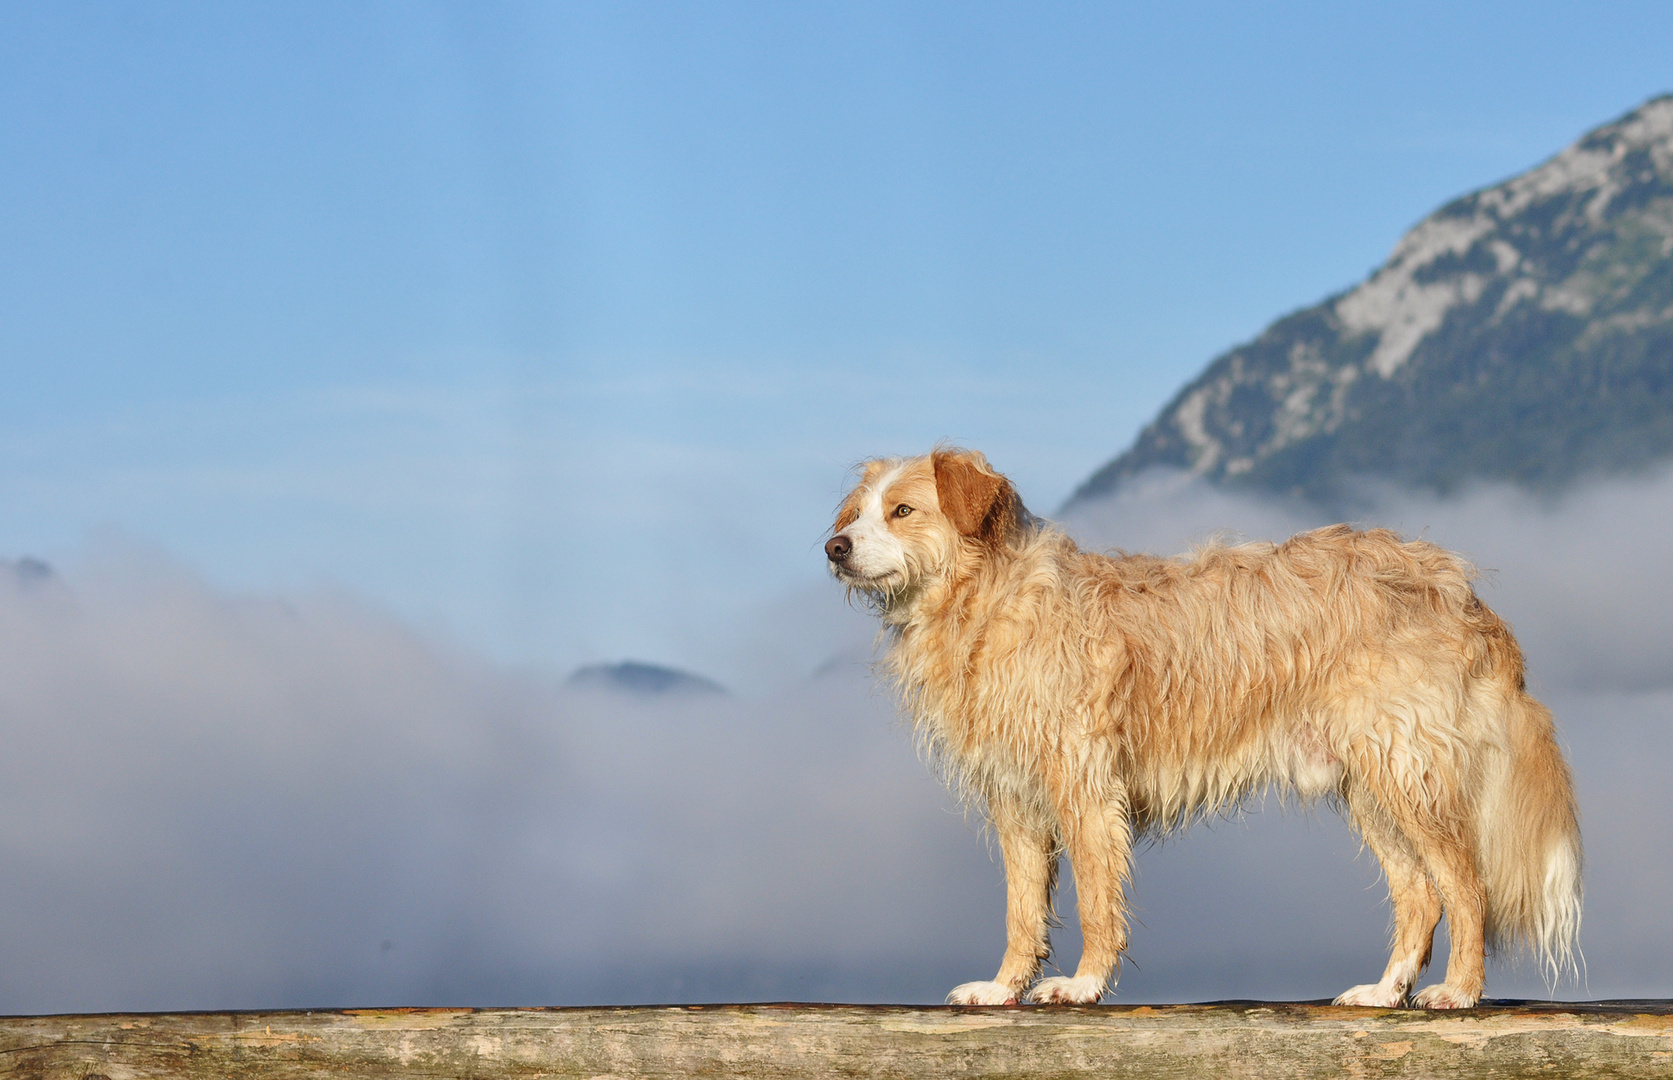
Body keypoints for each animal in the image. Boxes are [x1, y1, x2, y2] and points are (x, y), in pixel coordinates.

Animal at [829, 448, 1586, 1009]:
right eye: (857, 513)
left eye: (902, 511)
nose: (835, 546)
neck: (988, 598)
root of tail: (1453, 585)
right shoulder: (1016, 801)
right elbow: (1022, 910)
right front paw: (1001, 988)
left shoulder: (1084, 788)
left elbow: (1096, 899)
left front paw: (1081, 985)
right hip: (1371, 787)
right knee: (1421, 895)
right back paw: (1383, 991)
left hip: (1405, 770)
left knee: (1466, 886)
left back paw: (1459, 991)